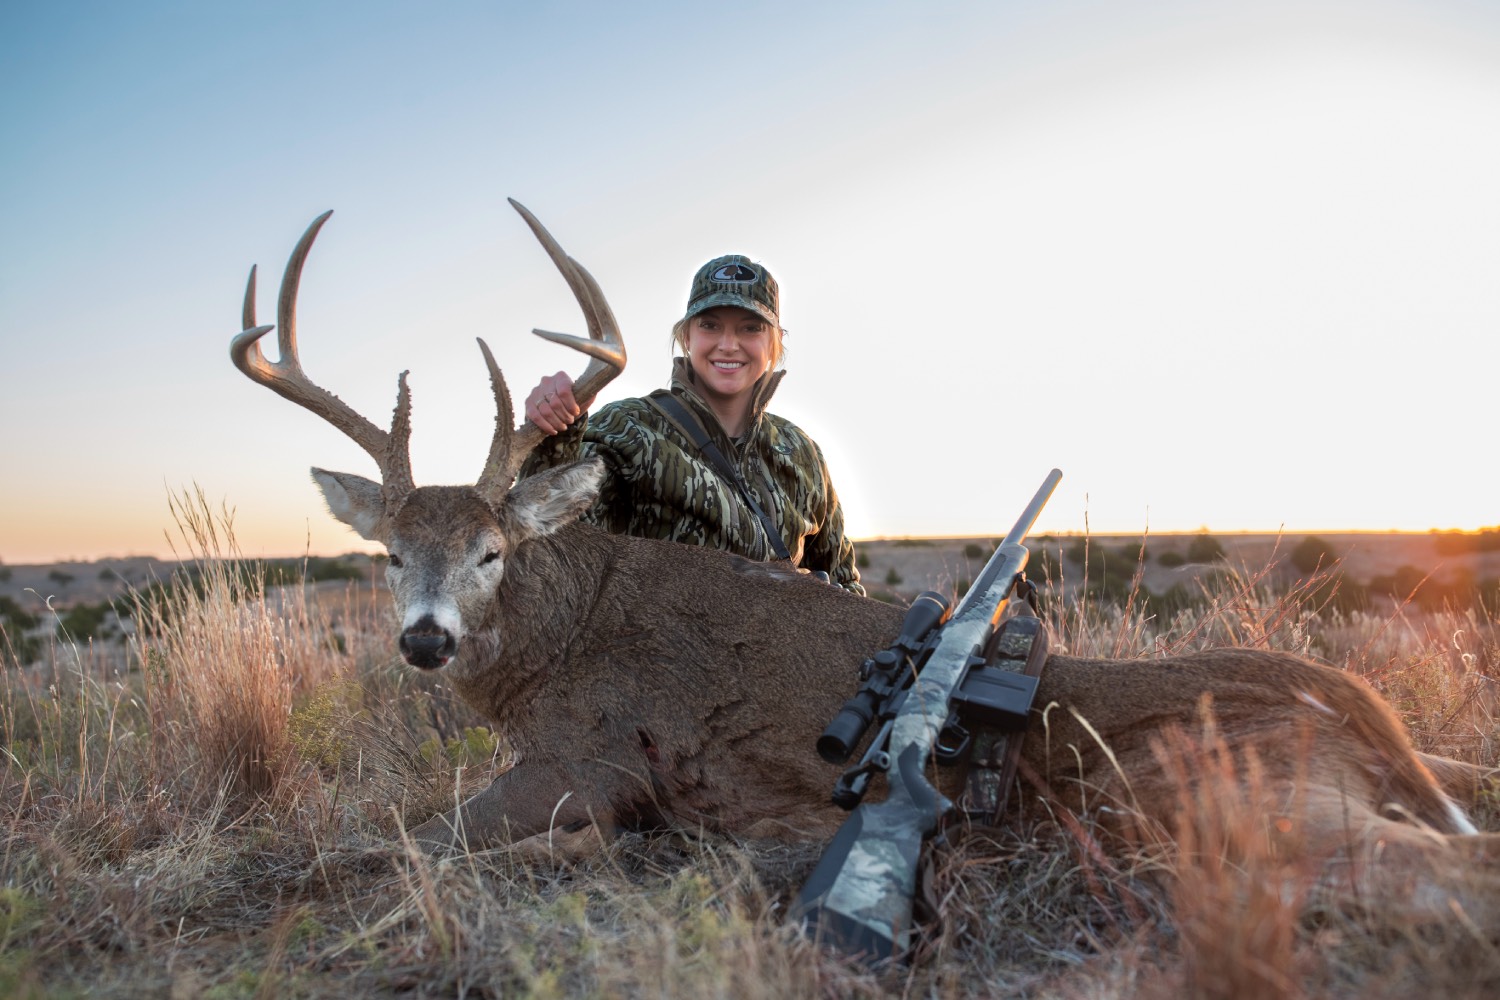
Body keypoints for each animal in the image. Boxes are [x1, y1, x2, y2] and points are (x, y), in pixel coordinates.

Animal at [234, 200, 1500, 929]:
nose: (425, 638)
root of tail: (1354, 704)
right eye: (389, 554)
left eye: (493, 549)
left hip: (1242, 805)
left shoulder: (592, 757)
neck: (565, 633)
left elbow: (403, 838)